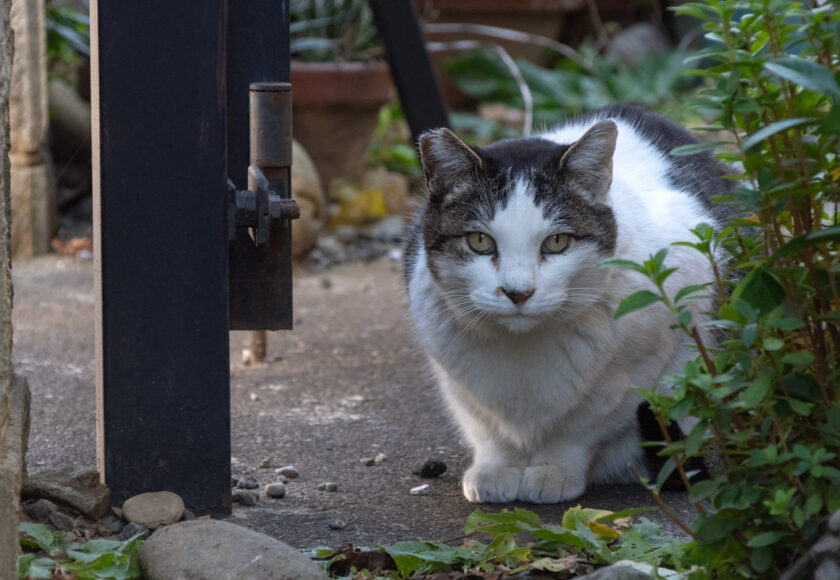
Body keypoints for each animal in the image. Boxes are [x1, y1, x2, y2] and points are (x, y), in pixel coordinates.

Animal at [404, 105, 732, 502]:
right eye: (479, 241)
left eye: (557, 241)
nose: (518, 291)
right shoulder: (455, 377)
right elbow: (486, 426)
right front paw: (496, 468)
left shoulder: (645, 358)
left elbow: (584, 424)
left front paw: (554, 470)